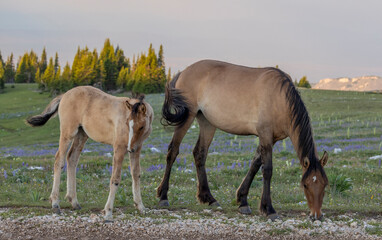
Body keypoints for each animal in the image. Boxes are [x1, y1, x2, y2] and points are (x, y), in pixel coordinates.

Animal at [26, 86, 153, 219]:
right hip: (68, 133)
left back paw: (74, 202)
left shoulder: (137, 148)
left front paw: (141, 207)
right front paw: (108, 212)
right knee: (59, 160)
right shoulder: (119, 148)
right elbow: (115, 178)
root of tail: (64, 95)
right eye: (127, 122)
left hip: (82, 134)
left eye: (141, 127)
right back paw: (55, 204)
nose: (130, 148)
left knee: (72, 158)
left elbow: (136, 173)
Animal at [157, 59, 328, 219]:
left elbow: (255, 165)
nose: (316, 215)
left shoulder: (271, 139)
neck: (279, 98)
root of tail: (184, 71)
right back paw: (163, 196)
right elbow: (267, 170)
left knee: (200, 153)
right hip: (188, 116)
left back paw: (209, 198)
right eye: (305, 185)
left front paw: (243, 201)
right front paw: (268, 209)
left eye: (325, 184)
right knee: (173, 151)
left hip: (207, 123)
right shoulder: (265, 134)